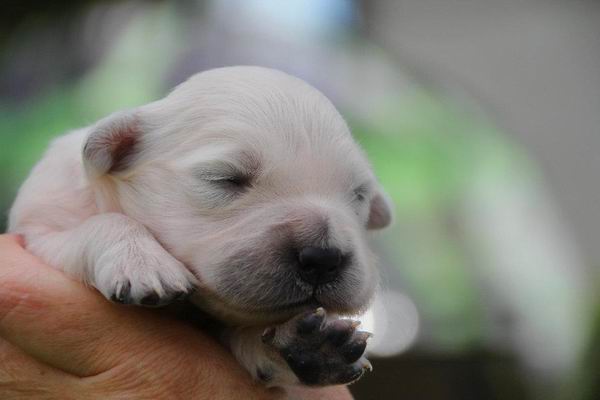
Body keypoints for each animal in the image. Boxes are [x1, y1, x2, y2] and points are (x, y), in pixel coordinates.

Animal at [8, 66, 393, 387]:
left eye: (358, 195)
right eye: (225, 179)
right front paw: (142, 260)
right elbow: (98, 223)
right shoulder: (39, 227)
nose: (324, 258)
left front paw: (309, 348)